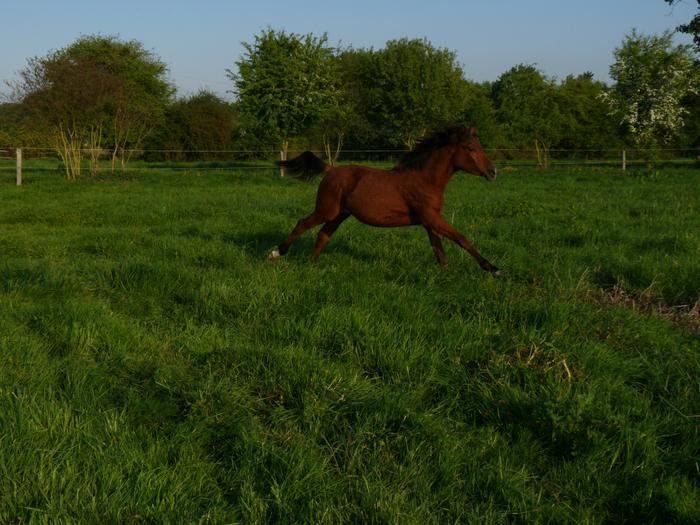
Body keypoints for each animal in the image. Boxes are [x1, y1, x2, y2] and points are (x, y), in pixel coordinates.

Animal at [268, 125, 504, 276]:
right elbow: (462, 239)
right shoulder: (431, 217)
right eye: (471, 149)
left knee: (323, 235)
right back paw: (276, 253)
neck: (424, 179)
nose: (493, 172)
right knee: (302, 224)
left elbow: (439, 250)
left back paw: (310, 264)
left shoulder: (430, 221)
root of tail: (330, 170)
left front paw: (446, 275)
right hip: (327, 210)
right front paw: (494, 269)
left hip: (340, 214)